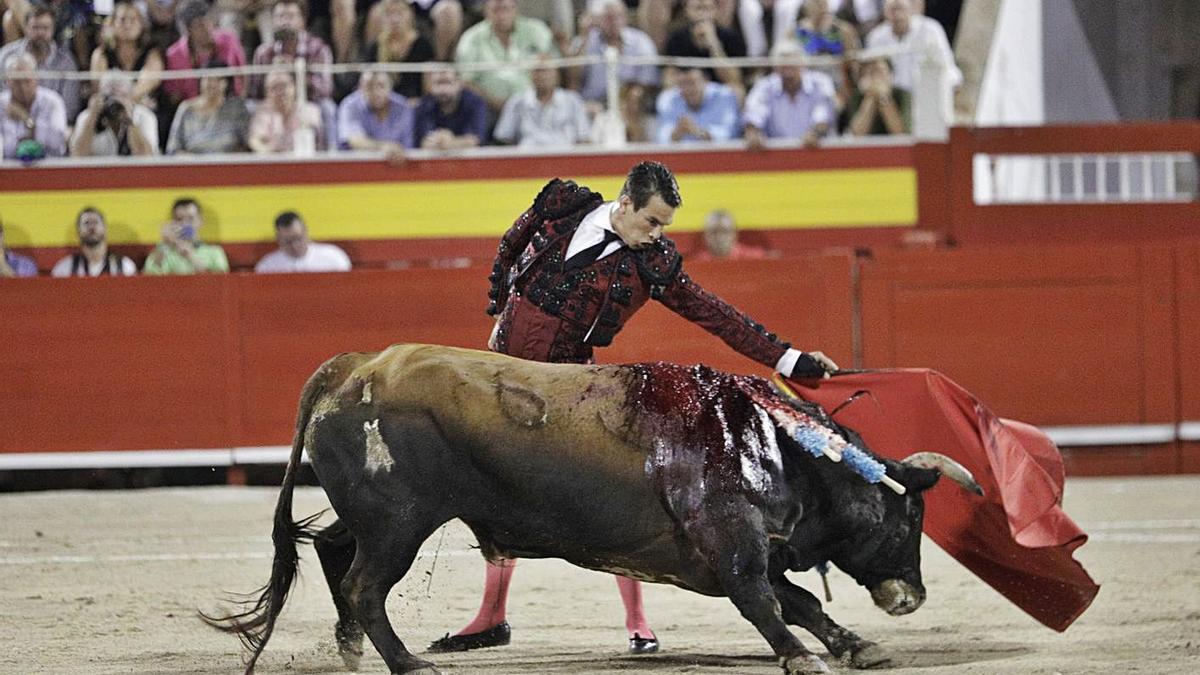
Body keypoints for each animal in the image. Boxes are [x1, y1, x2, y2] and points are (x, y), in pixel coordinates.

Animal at [206, 343, 984, 667]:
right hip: (400, 523)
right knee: (366, 583)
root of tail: (354, 368)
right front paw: (803, 659)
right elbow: (769, 603)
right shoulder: (731, 544)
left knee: (334, 550)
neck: (774, 443)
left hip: (377, 517)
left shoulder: (737, 551)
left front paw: (857, 645)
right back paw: (408, 664)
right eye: (910, 518)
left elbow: (801, 601)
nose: (910, 596)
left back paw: (350, 648)